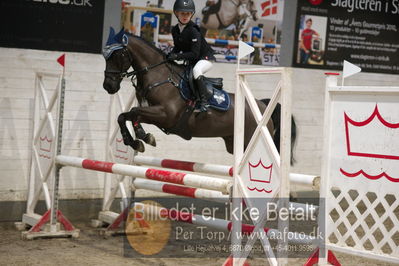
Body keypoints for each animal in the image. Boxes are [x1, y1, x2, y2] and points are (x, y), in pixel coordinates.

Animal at [102, 29, 296, 161]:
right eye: (105, 57)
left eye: (118, 55)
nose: (108, 86)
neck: (158, 76)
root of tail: (262, 105)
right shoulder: (152, 114)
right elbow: (124, 116)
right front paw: (137, 140)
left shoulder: (165, 115)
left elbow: (134, 112)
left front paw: (143, 137)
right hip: (234, 143)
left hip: (252, 140)